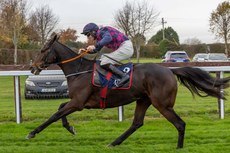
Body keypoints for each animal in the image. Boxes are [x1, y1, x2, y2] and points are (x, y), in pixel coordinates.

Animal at [27, 34, 230, 148]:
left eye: (43, 50)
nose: (32, 67)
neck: (80, 70)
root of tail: (170, 70)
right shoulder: (78, 102)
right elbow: (60, 108)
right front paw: (70, 128)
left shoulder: (78, 103)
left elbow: (55, 114)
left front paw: (32, 133)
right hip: (143, 100)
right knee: (137, 123)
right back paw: (114, 143)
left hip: (162, 104)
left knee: (180, 124)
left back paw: (179, 147)